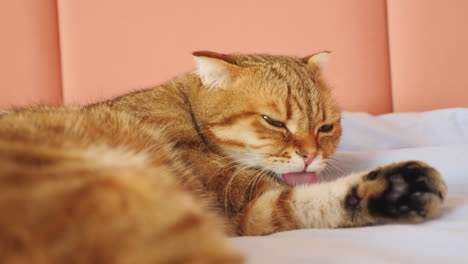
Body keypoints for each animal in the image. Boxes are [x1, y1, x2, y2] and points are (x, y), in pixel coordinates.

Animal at [0, 51, 446, 264]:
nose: (309, 155)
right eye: (274, 122)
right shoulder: (240, 204)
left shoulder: (253, 209)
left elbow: (310, 203)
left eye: (326, 127)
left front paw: (397, 191)